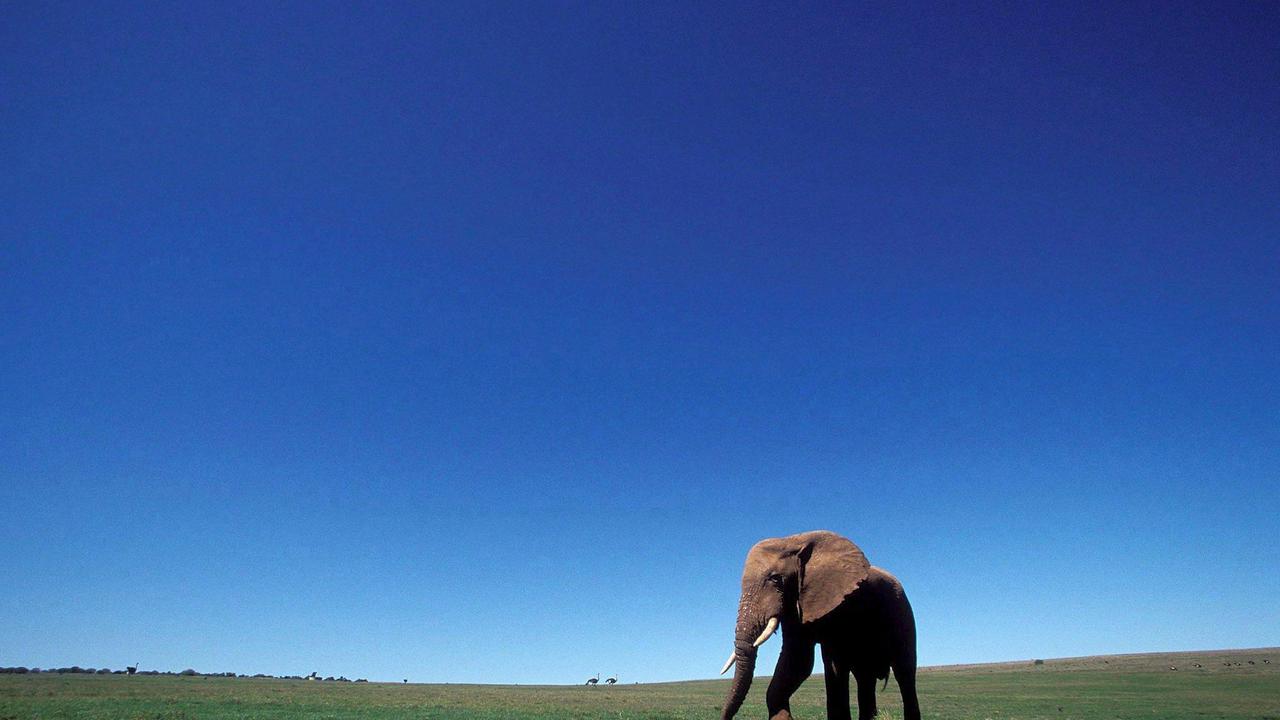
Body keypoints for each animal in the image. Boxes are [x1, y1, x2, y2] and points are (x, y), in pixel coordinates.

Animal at [717, 530, 920, 720]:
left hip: (903, 614)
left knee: (904, 672)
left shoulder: (840, 602)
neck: (793, 541)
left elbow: (825, 663)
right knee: (864, 677)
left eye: (775, 578)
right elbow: (797, 659)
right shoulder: (796, 602)